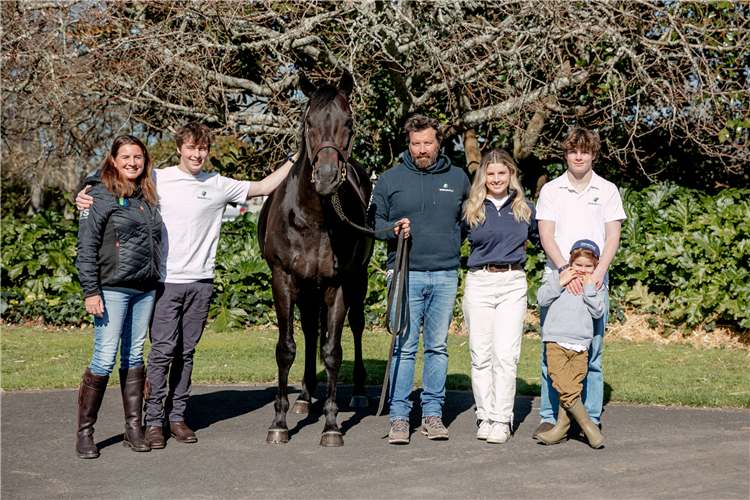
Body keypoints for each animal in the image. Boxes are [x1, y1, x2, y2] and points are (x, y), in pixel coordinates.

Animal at [260, 71, 374, 450]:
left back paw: (357, 392)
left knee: (355, 326)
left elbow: (333, 350)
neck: (313, 217)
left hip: (357, 281)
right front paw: (279, 422)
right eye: (308, 121)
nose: (326, 176)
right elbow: (286, 348)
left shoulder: (339, 284)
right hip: (307, 288)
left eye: (349, 122)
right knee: (310, 331)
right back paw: (304, 396)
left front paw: (332, 425)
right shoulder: (282, 279)